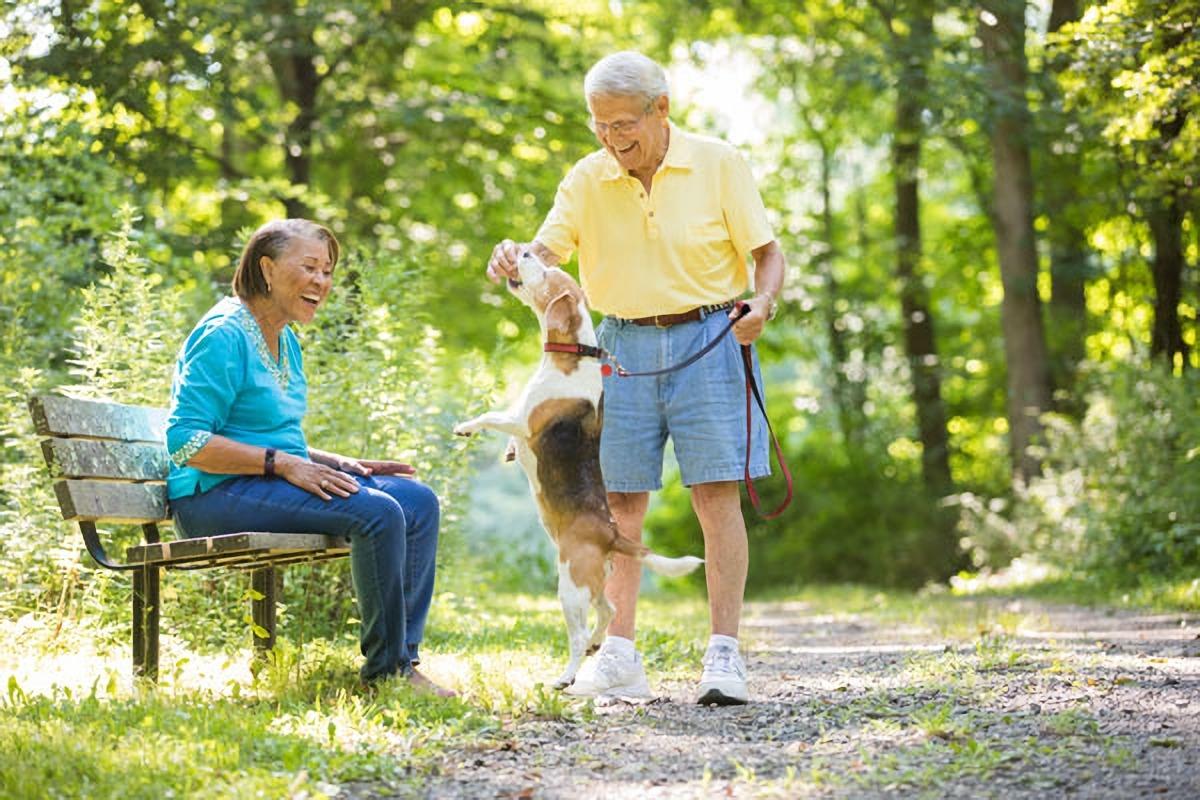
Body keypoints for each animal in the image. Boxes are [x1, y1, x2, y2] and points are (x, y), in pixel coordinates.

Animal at [456, 250, 700, 690]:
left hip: (569, 587)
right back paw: (596, 645)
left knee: (580, 632)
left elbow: (490, 416)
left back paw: (566, 676)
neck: (574, 355)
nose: (522, 250)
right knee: (609, 612)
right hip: (593, 583)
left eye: (544, 270)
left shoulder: (522, 421)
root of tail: (611, 533)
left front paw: (466, 427)